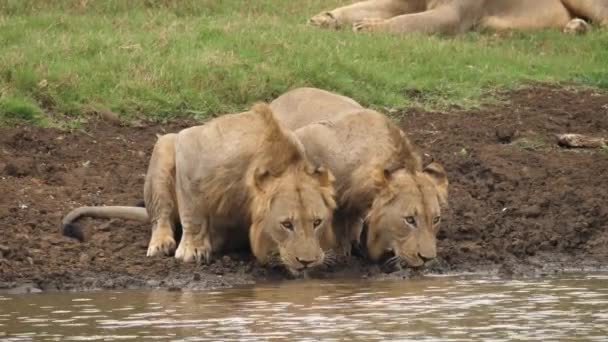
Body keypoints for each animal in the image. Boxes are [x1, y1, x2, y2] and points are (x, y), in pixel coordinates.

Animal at [61, 102, 338, 276]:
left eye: (317, 222)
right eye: (286, 224)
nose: (307, 262)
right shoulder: (190, 147)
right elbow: (193, 213)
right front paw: (193, 250)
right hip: (165, 145)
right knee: (161, 215)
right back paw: (162, 243)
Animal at [270, 88, 446, 270]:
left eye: (436, 219)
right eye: (410, 220)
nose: (427, 259)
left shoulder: (357, 199)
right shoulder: (307, 136)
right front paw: (339, 254)